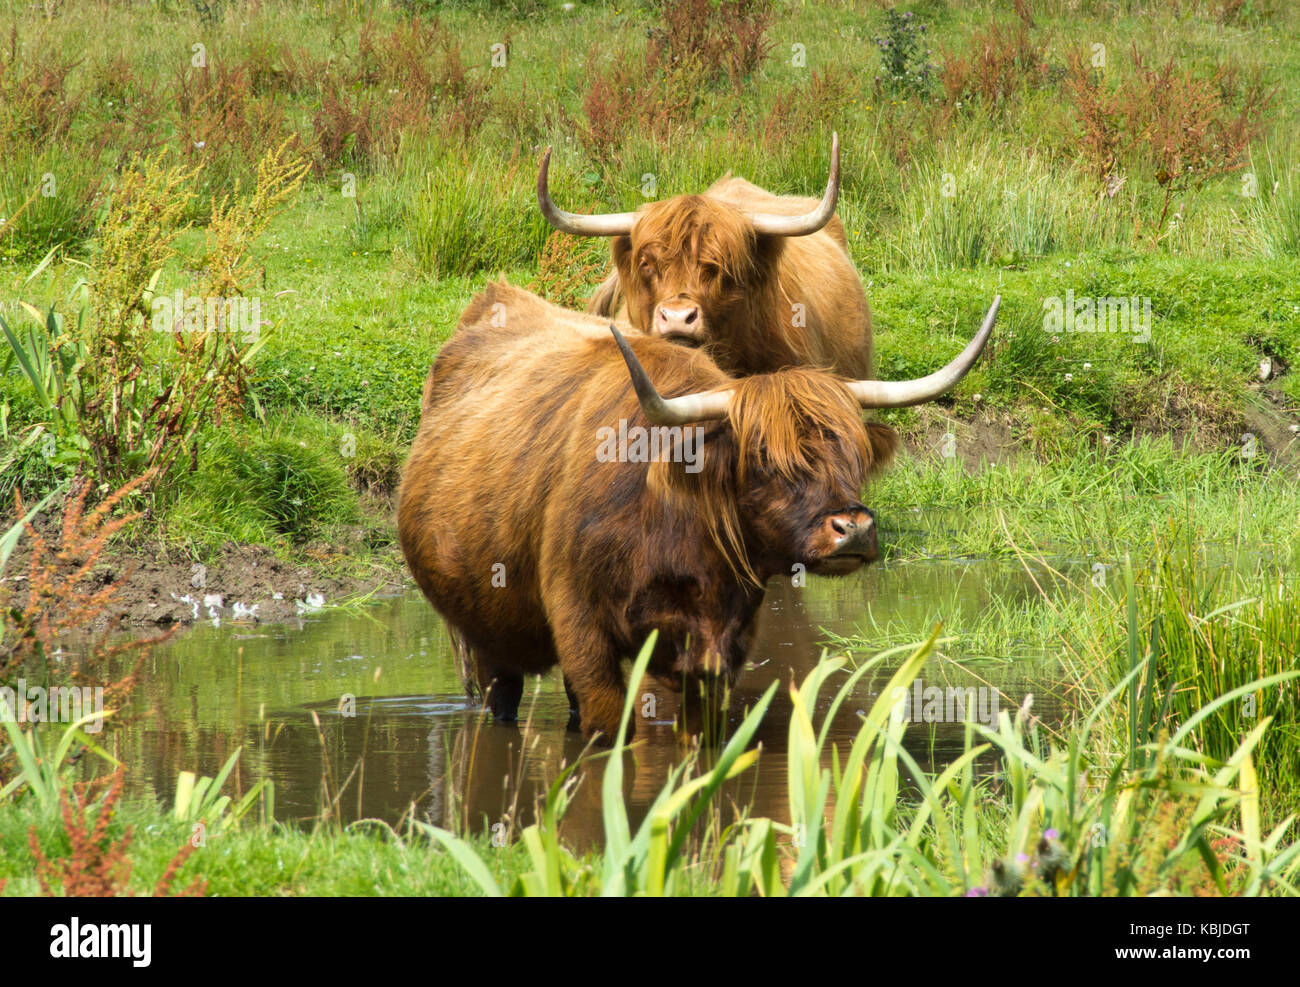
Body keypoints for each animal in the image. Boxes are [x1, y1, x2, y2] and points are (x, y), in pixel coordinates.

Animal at [396, 282, 999, 743]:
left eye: (852, 452)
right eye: (763, 457)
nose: (852, 529)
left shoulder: (719, 651)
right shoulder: (582, 631)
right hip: (479, 633)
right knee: (500, 701)